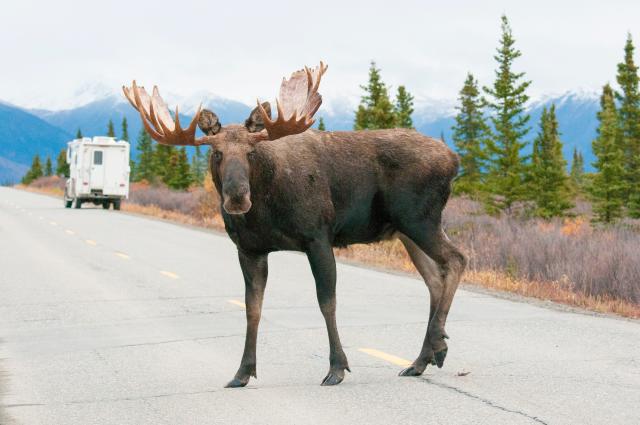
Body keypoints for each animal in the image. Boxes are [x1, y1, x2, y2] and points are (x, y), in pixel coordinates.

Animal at [124, 62, 464, 384]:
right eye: (217, 152)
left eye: (251, 151)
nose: (237, 196)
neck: (266, 208)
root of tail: (454, 159)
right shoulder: (249, 249)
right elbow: (253, 309)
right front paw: (243, 371)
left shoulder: (318, 237)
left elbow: (327, 302)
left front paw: (337, 367)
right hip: (405, 231)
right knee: (434, 278)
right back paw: (423, 358)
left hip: (420, 219)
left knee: (456, 260)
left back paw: (437, 343)